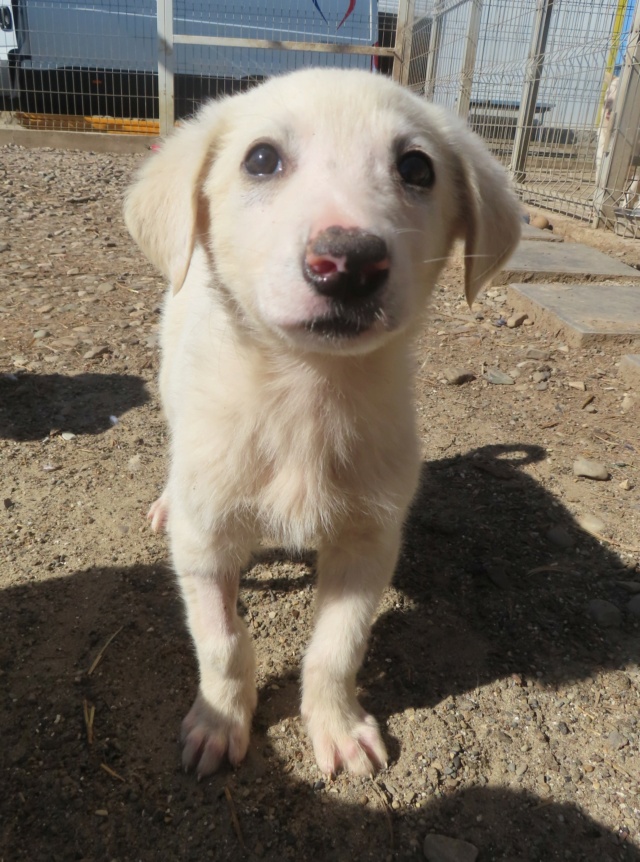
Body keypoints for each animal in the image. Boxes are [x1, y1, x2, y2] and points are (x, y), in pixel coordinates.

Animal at [124, 67, 520, 780]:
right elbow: (223, 644)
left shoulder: (369, 542)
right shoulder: (206, 546)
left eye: (416, 167)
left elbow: (337, 649)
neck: (307, 396)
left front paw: (336, 725)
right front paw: (219, 722)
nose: (350, 261)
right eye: (260, 159)